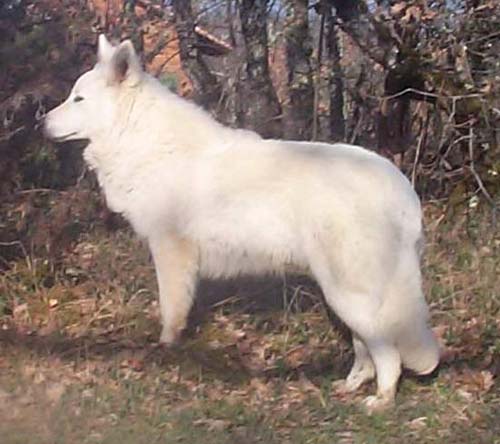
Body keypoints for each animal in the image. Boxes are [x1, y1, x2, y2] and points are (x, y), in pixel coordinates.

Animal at [46, 35, 438, 412]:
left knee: (386, 351)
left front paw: (166, 348)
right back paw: (352, 384)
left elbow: (171, 310)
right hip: (342, 291)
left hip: (350, 291)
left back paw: (382, 399)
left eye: (78, 99)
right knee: (364, 348)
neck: (142, 137)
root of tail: (401, 189)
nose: (41, 123)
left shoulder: (170, 249)